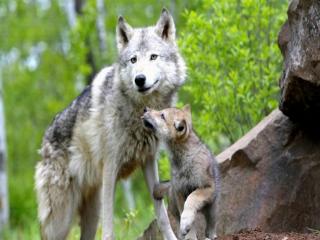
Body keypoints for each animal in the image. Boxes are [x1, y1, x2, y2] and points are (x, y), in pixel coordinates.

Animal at [34, 8, 185, 240]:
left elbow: (162, 216)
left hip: (90, 211)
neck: (139, 113)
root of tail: (45, 139)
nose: (139, 79)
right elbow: (109, 229)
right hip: (60, 219)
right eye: (133, 60)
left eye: (153, 57)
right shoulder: (110, 169)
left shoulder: (148, 161)